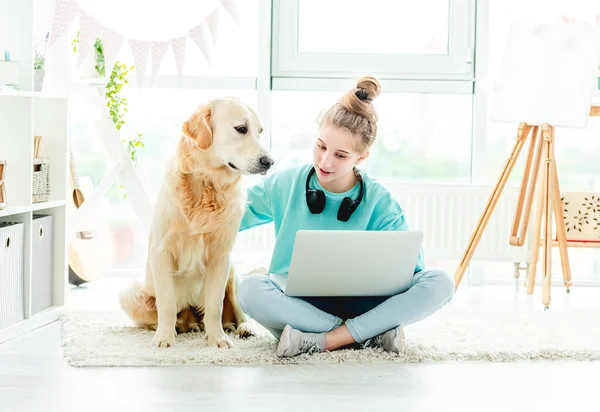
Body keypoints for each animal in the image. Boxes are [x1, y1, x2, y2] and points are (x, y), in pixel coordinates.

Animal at [120, 97, 274, 348]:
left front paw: (217, 339)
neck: (206, 185)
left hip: (233, 271)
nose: (269, 162)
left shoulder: (222, 255)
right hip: (129, 295)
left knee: (240, 313)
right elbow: (167, 301)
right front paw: (164, 338)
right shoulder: (161, 251)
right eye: (241, 129)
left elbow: (214, 304)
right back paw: (184, 326)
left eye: (260, 131)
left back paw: (242, 328)